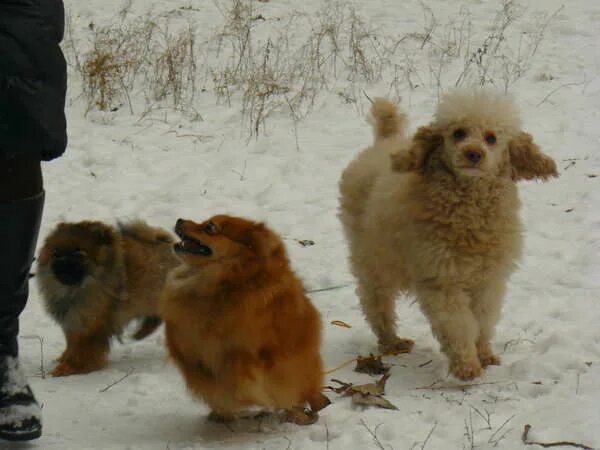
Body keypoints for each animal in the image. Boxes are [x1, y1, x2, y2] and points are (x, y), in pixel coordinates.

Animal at [35, 221, 178, 376]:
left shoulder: (91, 324)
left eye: (78, 255)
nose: (62, 262)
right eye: (56, 254)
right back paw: (141, 333)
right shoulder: (73, 320)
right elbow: (72, 344)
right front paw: (64, 358)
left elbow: (82, 350)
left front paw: (71, 367)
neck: (75, 290)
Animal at [159, 216, 328, 424]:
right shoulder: (188, 349)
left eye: (210, 227)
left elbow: (241, 368)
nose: (180, 219)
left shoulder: (261, 353)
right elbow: (203, 374)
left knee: (300, 396)